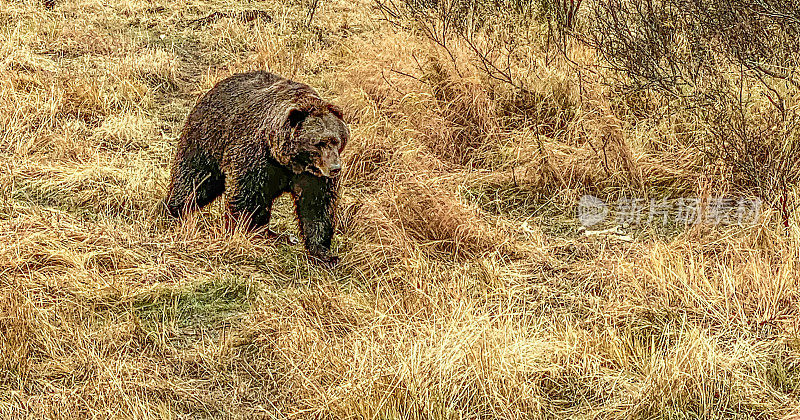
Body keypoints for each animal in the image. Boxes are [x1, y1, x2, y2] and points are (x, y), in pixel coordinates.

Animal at [164, 70, 348, 264]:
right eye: (319, 143)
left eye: (337, 140)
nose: (335, 168)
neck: (290, 161)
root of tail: (212, 90)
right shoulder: (257, 159)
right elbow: (248, 199)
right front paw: (248, 233)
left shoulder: (313, 176)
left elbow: (317, 206)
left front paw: (324, 253)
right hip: (207, 139)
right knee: (196, 180)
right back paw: (175, 209)